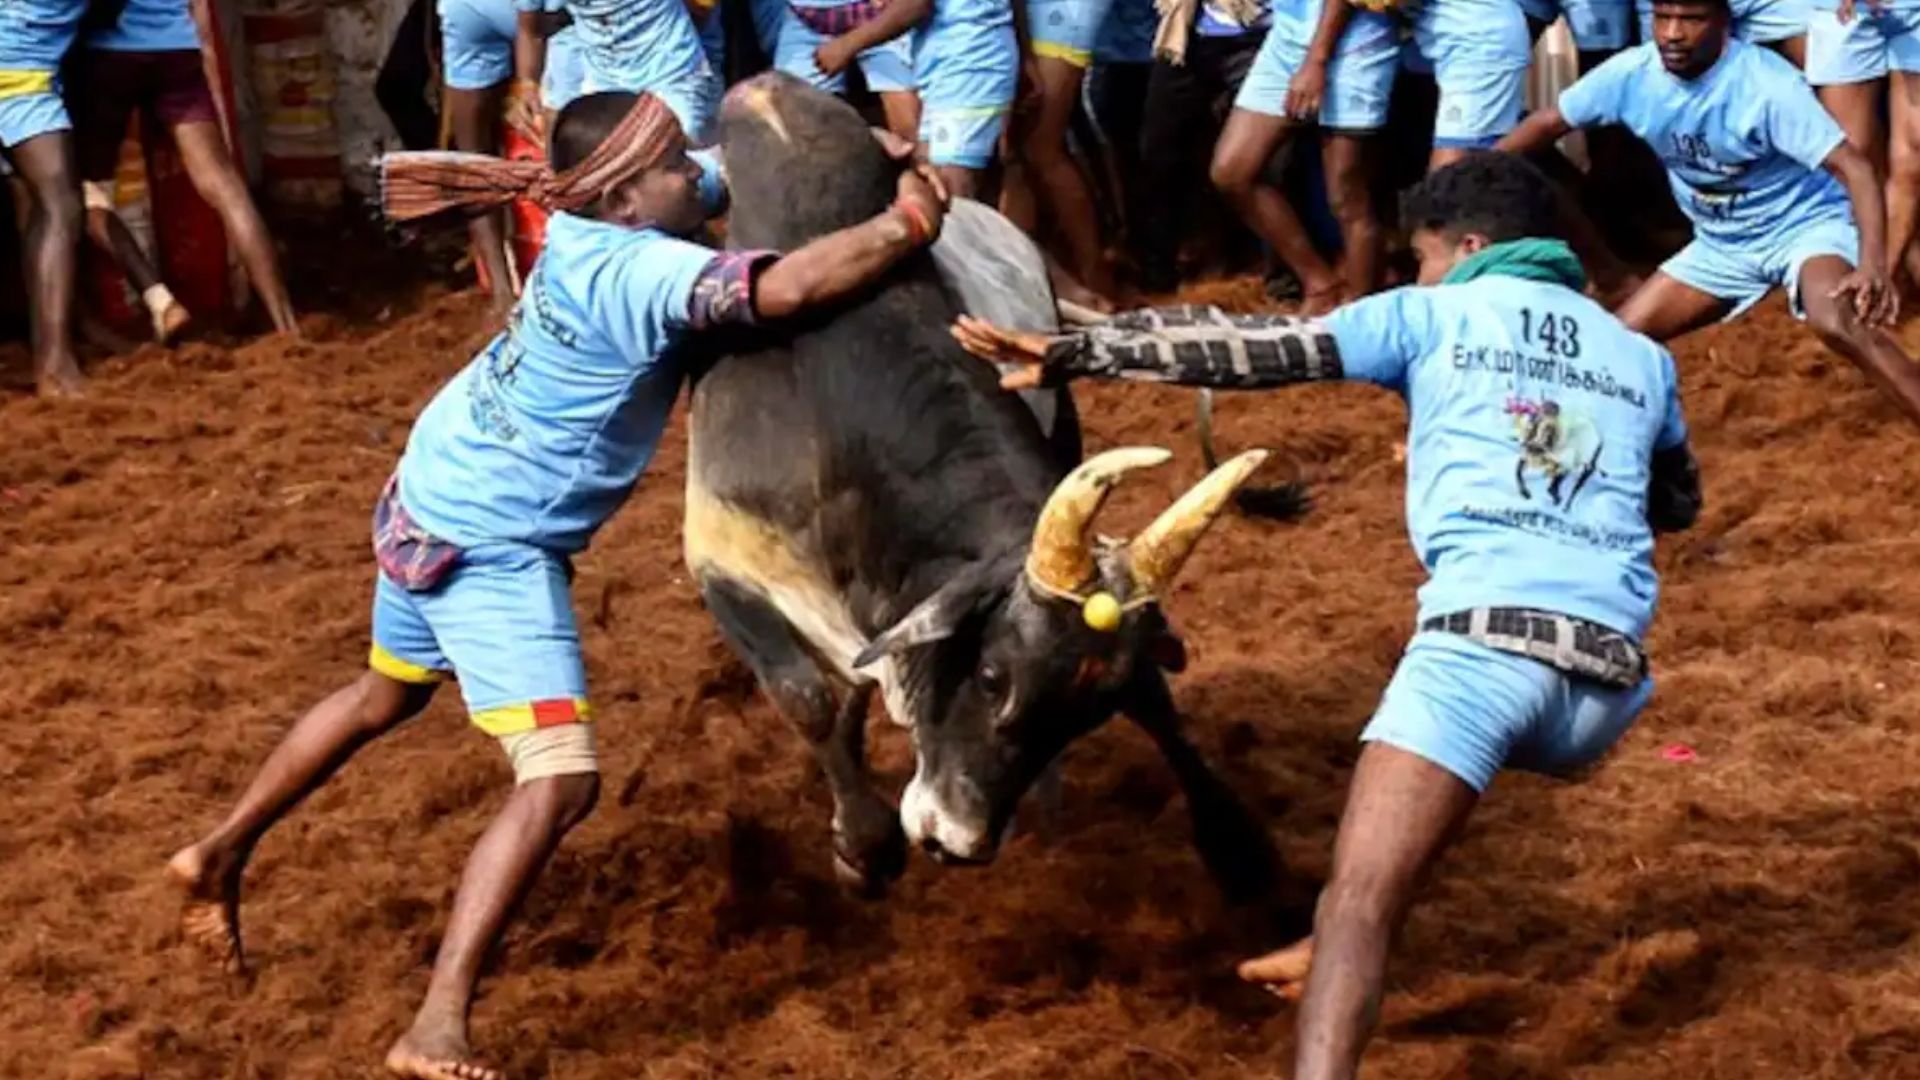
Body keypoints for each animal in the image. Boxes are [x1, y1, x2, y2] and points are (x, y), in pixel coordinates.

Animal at [683, 75, 1282, 895]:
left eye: (1087, 711)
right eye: (992, 675)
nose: (956, 841)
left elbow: (1155, 701)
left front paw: (1236, 845)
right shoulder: (723, 562)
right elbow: (808, 699)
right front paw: (863, 846)